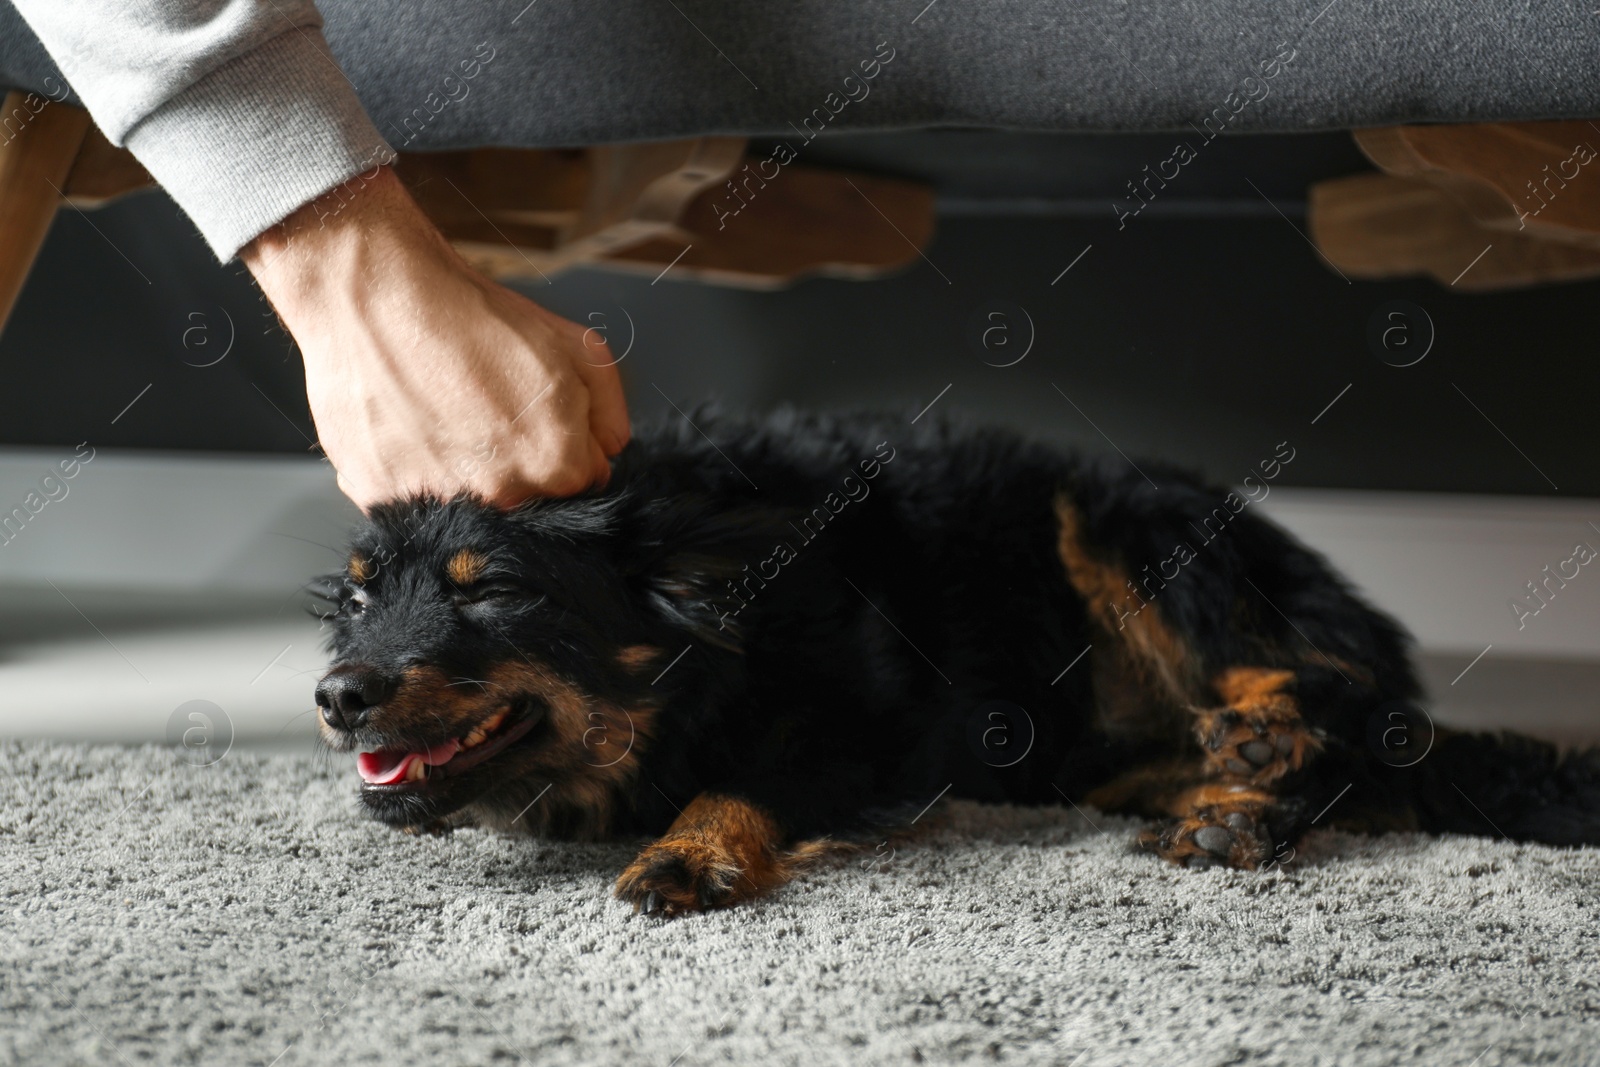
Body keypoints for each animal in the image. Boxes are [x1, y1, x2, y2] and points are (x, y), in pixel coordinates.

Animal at [312, 412, 1600, 915]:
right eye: (359, 594)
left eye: (494, 591)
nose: (334, 696)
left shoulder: (886, 727)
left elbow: (747, 779)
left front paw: (689, 848)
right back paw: (1219, 789)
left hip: (1126, 520)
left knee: (1353, 709)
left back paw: (1258, 764)